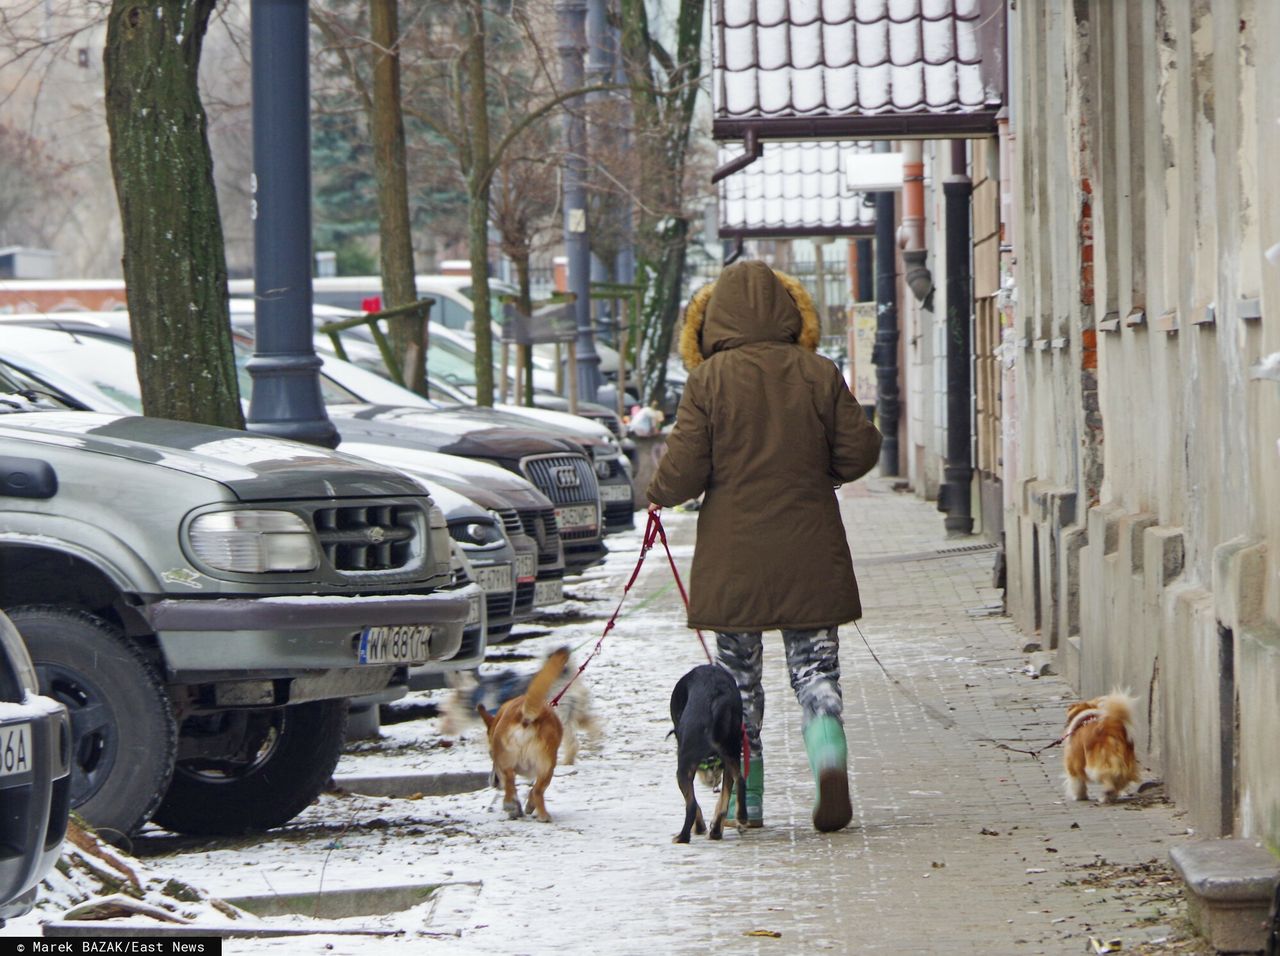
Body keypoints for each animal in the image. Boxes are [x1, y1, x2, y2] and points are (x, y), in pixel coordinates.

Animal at [478, 642, 568, 824]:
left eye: (490, 754)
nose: (493, 782)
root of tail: (525, 717)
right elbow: (534, 790)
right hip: (547, 767)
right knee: (537, 790)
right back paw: (542, 815)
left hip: (510, 765)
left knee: (510, 785)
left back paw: (512, 807)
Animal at [670, 665, 747, 844]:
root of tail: (717, 697)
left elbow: (693, 802)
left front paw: (699, 827)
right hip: (732, 750)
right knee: (739, 781)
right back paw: (731, 823)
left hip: (684, 764)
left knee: (691, 806)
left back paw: (683, 837)